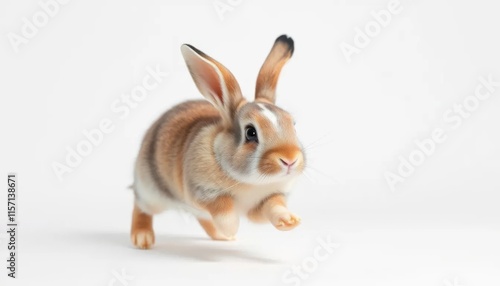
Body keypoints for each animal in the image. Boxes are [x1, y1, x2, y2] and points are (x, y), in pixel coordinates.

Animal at [130, 34, 304, 248]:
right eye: (250, 132)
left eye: (293, 124)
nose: (290, 159)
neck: (250, 182)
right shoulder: (204, 193)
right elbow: (224, 210)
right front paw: (232, 228)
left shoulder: (267, 200)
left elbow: (273, 208)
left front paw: (289, 221)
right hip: (150, 192)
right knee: (140, 206)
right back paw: (142, 238)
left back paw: (222, 237)